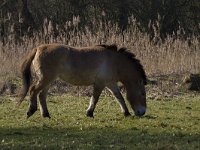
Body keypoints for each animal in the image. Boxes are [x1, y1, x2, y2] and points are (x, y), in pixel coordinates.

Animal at [17, 43, 147, 118]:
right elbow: (95, 99)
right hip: (45, 79)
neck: (114, 61)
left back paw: (46, 115)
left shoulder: (110, 83)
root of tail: (38, 48)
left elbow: (119, 97)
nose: (142, 112)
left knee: (41, 95)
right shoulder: (100, 83)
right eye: (142, 93)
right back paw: (31, 110)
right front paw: (89, 113)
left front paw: (126, 113)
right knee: (33, 90)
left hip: (49, 80)